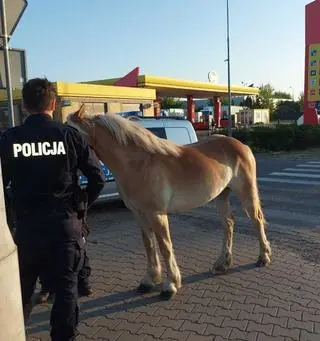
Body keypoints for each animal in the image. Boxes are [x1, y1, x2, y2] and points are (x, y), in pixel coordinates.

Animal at [67, 105, 270, 298]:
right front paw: (149, 281)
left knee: (257, 220)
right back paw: (222, 263)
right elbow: (149, 245)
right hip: (221, 195)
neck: (138, 164)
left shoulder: (157, 214)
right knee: (228, 224)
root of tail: (241, 145)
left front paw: (170, 285)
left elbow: (165, 246)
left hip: (246, 193)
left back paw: (263, 257)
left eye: (73, 134)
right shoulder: (139, 214)